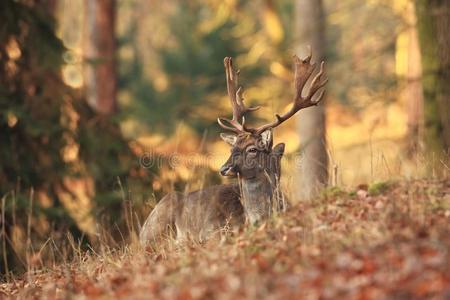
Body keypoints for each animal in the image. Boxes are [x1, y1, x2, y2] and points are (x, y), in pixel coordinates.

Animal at [139, 51, 326, 246]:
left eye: (252, 149)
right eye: (232, 149)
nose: (224, 168)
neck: (254, 219)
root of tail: (141, 231)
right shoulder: (212, 230)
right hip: (157, 228)